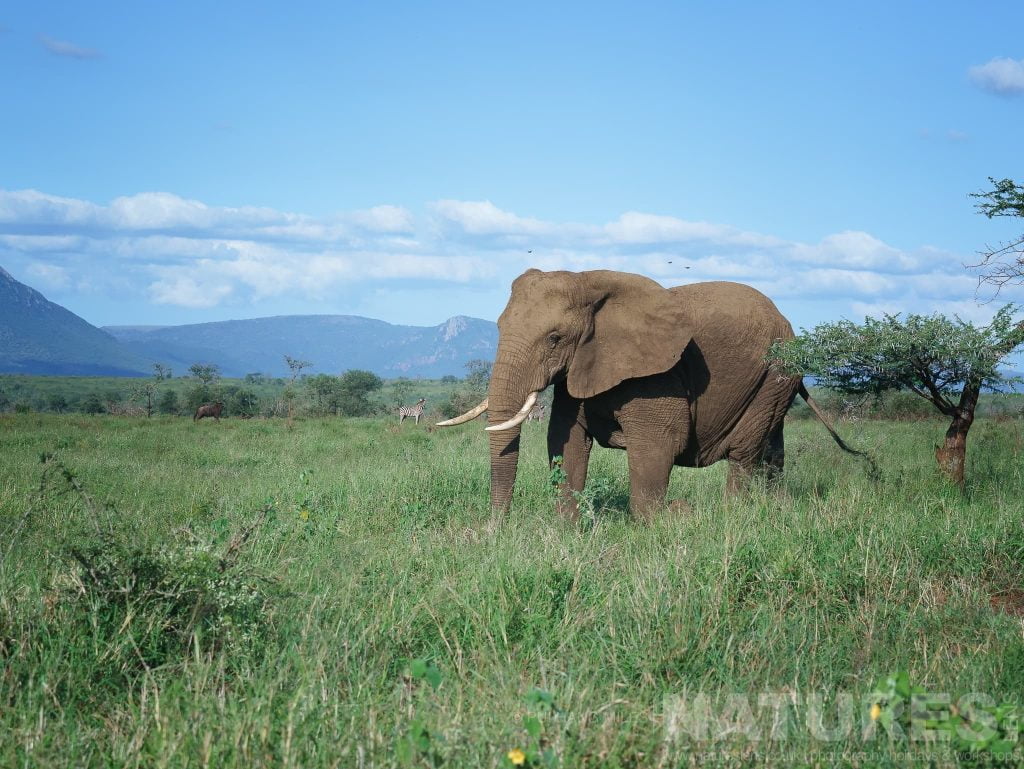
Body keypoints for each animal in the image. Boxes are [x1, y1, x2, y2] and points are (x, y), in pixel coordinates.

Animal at [437, 268, 861, 521]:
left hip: (776, 373)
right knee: (772, 449)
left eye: (555, 338)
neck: (589, 283)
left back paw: (734, 516)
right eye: (497, 327)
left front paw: (655, 527)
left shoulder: (658, 374)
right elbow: (565, 441)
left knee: (745, 453)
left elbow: (657, 447)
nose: (494, 532)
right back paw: (775, 508)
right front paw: (565, 532)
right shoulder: (582, 366)